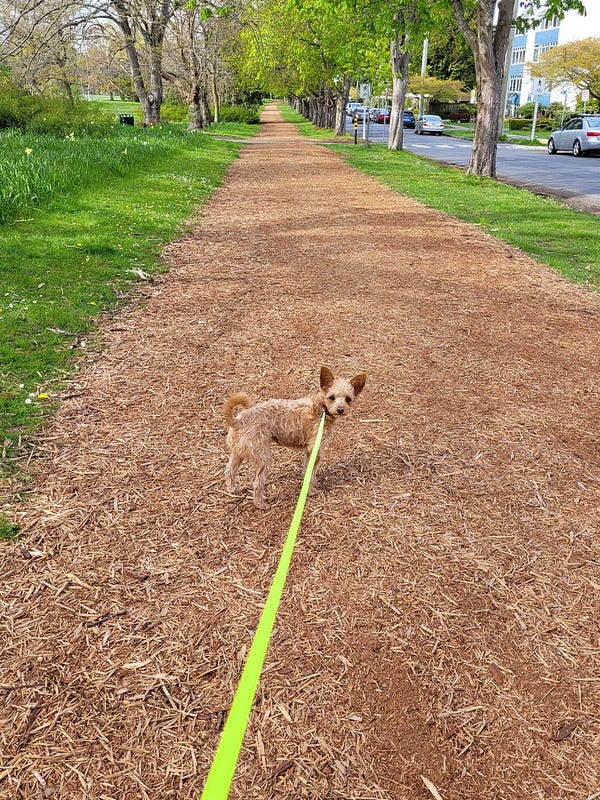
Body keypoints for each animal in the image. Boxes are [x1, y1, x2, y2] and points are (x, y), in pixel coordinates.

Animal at [224, 366, 366, 510]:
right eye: (332, 397)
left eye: (348, 399)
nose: (340, 409)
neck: (322, 408)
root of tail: (240, 420)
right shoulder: (315, 448)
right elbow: (311, 473)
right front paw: (312, 491)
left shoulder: (309, 451)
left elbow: (307, 470)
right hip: (263, 458)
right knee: (257, 483)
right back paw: (261, 504)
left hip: (238, 453)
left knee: (230, 471)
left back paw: (233, 489)